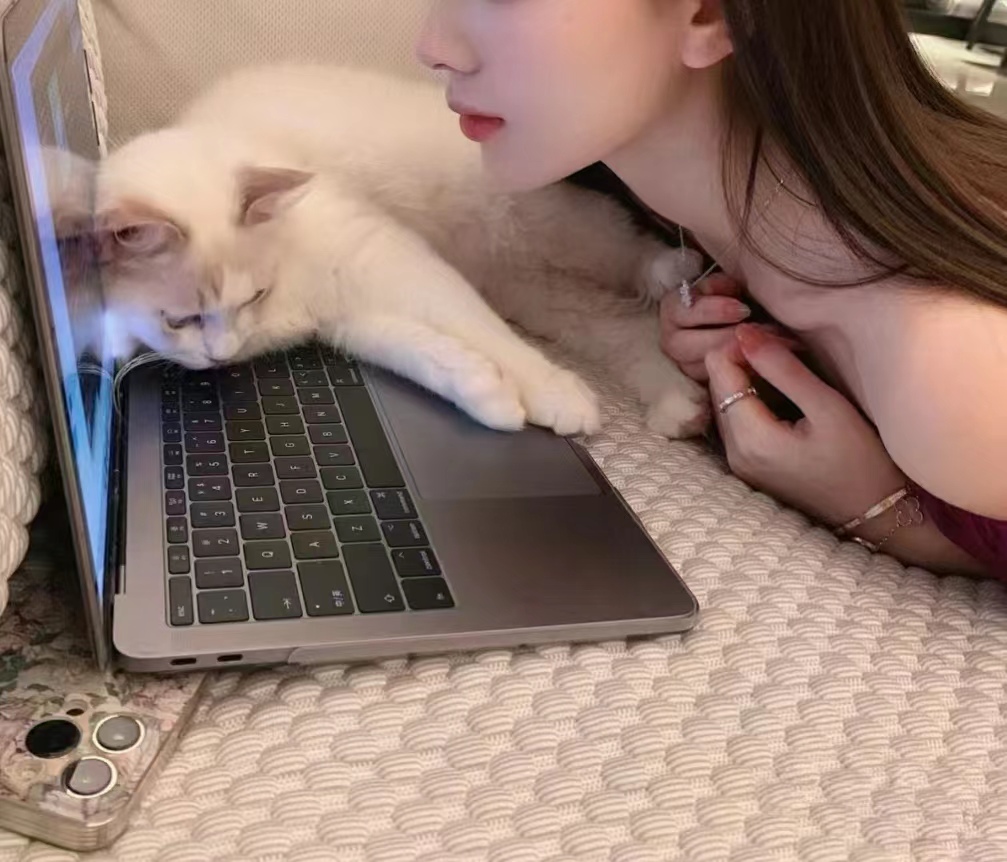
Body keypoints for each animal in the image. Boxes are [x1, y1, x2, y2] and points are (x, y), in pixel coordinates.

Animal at [94, 64, 709, 437]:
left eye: (251, 298)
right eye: (180, 321)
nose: (221, 356)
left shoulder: (390, 263)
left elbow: (489, 338)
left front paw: (550, 391)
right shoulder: (350, 318)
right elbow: (431, 356)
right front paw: (491, 397)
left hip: (551, 230)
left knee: (622, 246)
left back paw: (669, 270)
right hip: (544, 295)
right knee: (627, 328)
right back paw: (679, 404)